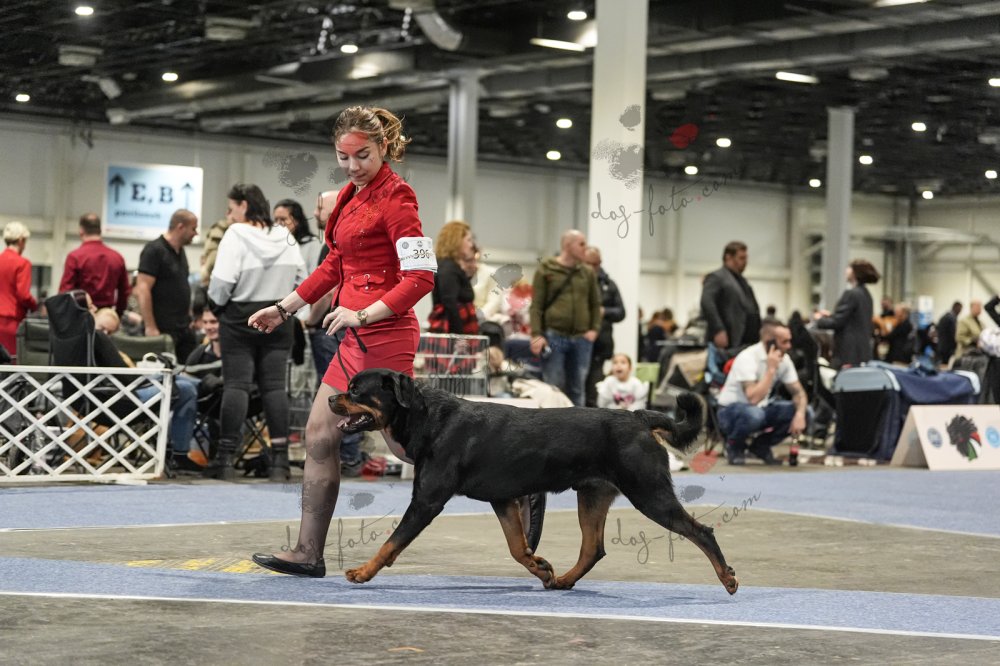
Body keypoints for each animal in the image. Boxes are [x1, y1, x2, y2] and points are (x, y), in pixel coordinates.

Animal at [330, 368, 738, 595]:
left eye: (356, 390)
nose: (332, 397)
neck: (427, 418)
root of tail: (639, 416)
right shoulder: (503, 499)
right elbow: (517, 545)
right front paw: (539, 566)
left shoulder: (427, 500)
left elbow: (392, 542)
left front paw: (362, 572)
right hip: (593, 494)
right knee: (592, 548)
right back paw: (564, 580)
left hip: (648, 492)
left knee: (701, 532)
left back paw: (727, 577)